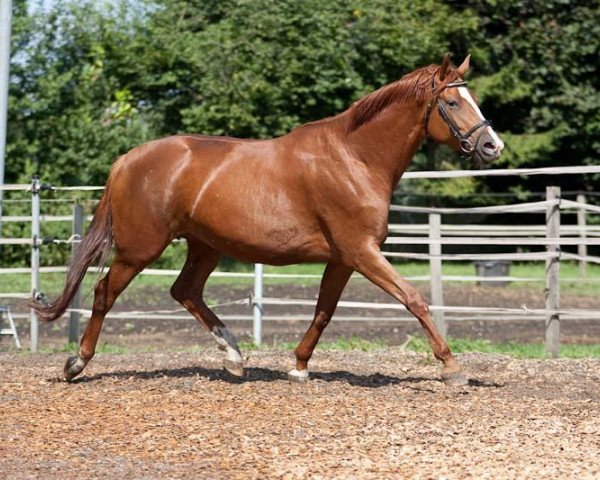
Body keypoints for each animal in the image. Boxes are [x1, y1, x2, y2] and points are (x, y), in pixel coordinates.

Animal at [32, 55, 502, 386]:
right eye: (452, 102)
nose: (492, 146)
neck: (355, 158)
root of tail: (128, 159)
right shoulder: (362, 252)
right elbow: (414, 299)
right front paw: (451, 367)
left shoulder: (343, 258)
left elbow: (324, 311)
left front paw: (299, 366)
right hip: (140, 248)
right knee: (104, 293)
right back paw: (77, 363)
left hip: (205, 247)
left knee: (184, 291)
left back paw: (234, 357)